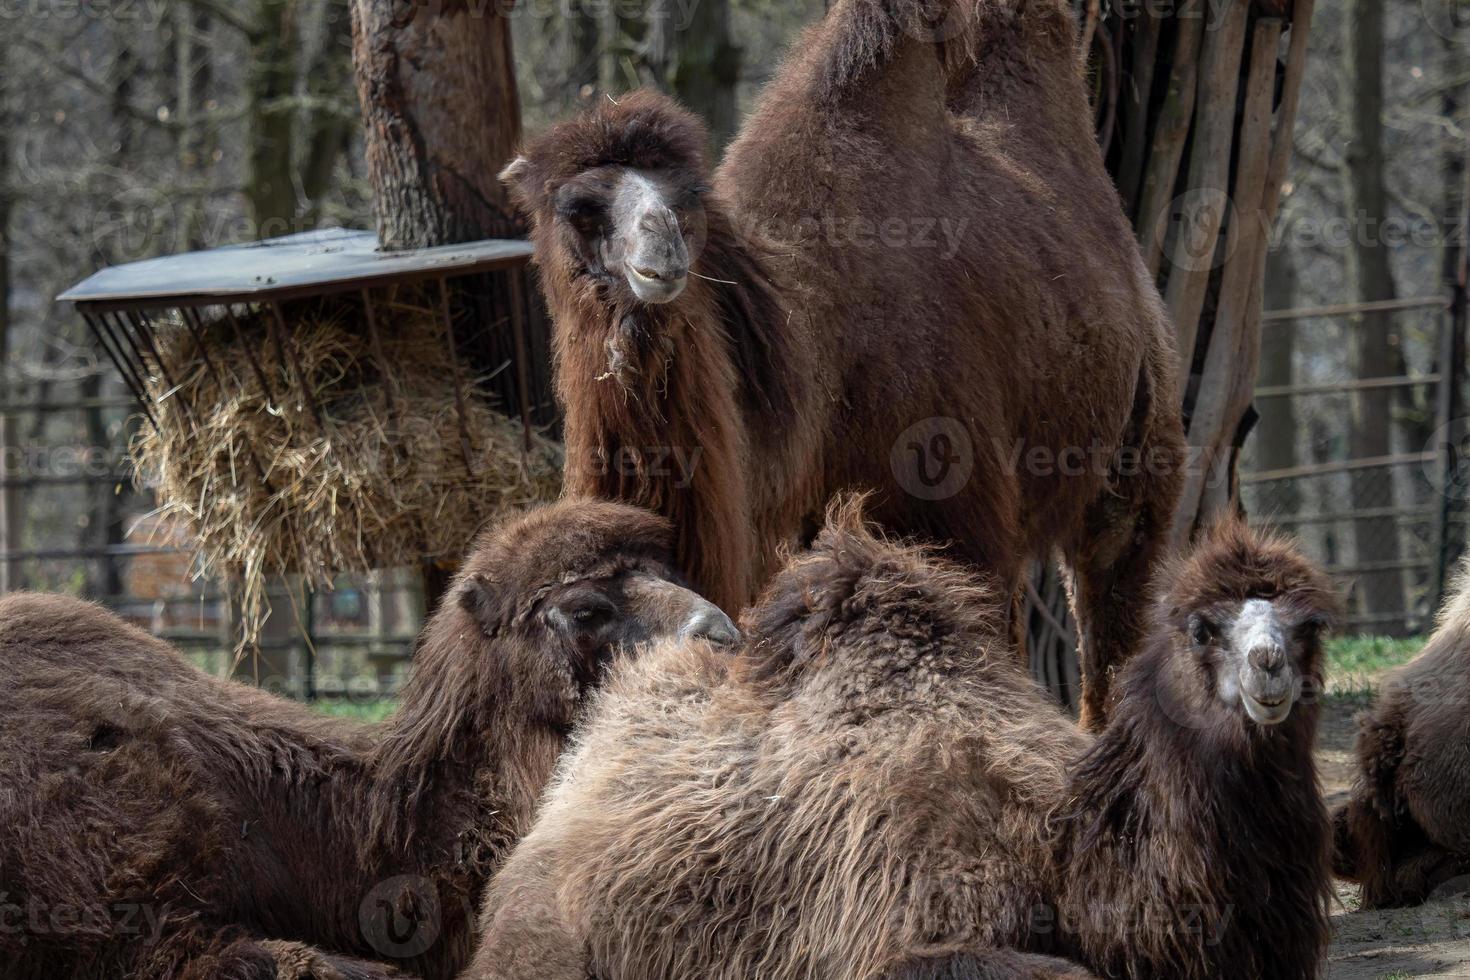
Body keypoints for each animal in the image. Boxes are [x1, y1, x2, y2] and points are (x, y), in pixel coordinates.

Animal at [499, 0, 1187, 728]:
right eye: (578, 208)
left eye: (687, 198)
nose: (660, 247)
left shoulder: (954, 515)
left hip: (1142, 445)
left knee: (1112, 592)